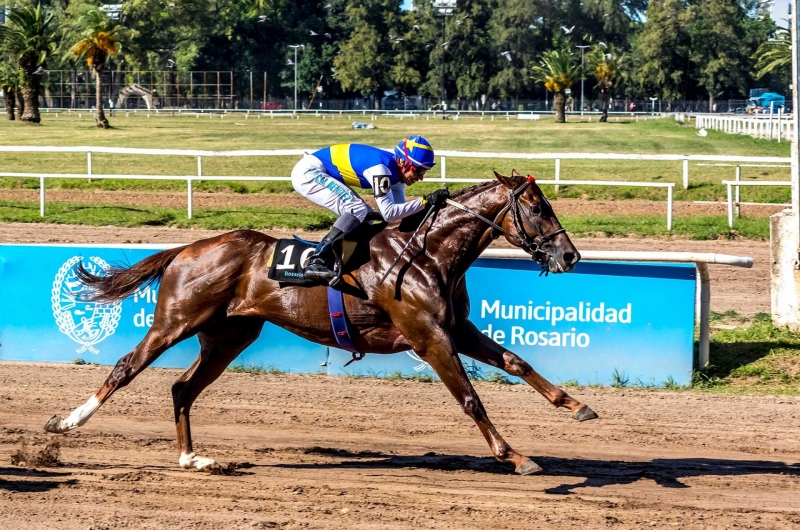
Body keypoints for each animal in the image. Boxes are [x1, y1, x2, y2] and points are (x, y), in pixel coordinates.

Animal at [43, 170, 592, 474]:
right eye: (538, 208)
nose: (570, 255)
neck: (429, 252)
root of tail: (187, 248)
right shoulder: (428, 335)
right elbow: (471, 398)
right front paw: (514, 456)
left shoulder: (455, 328)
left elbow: (516, 361)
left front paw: (577, 406)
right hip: (176, 321)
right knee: (125, 366)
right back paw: (66, 422)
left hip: (229, 336)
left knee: (182, 388)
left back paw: (192, 458)